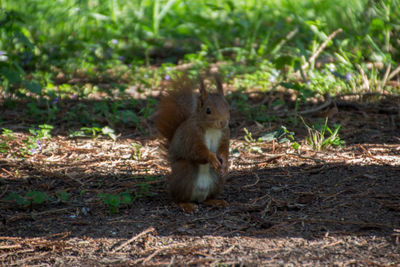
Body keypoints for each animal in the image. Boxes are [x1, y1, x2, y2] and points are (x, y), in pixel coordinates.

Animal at [156, 75, 231, 214]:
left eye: (228, 108)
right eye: (208, 110)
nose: (223, 122)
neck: (212, 129)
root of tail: (198, 196)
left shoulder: (225, 135)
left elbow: (223, 150)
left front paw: (225, 164)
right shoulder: (191, 136)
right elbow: (197, 151)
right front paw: (212, 158)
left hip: (218, 181)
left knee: (206, 199)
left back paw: (215, 201)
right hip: (184, 174)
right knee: (177, 198)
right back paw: (186, 205)